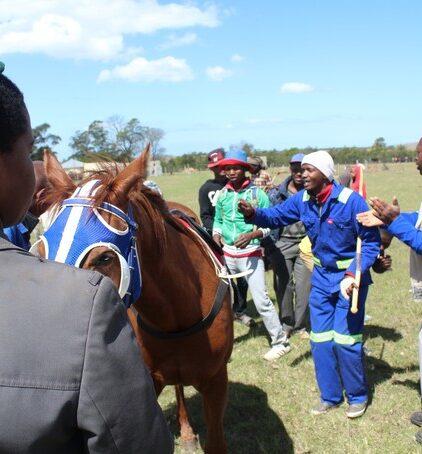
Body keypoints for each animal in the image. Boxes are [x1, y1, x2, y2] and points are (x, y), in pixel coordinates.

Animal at [37, 149, 232, 454]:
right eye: (42, 251)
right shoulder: (145, 384)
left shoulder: (216, 382)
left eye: (104, 258)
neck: (177, 317)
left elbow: (216, 442)